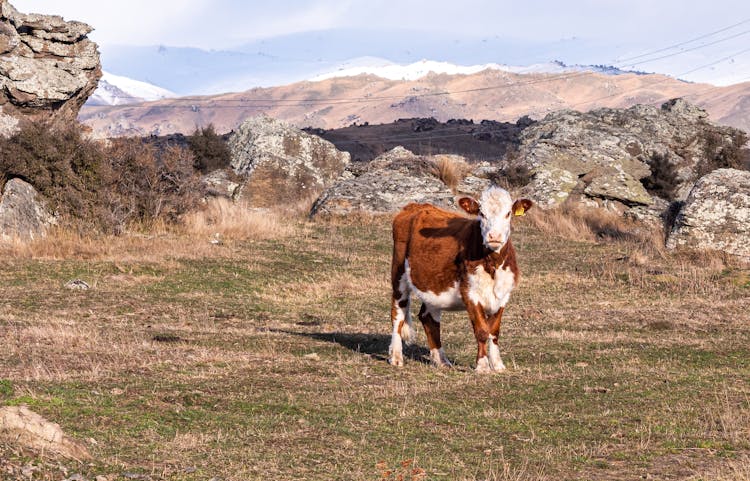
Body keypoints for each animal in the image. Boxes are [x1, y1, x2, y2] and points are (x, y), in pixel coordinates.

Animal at [388, 187, 536, 372]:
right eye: (481, 213)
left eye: (508, 213)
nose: (494, 236)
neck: (493, 265)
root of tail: (415, 206)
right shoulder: (470, 293)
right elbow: (482, 330)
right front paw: (483, 366)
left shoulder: (503, 295)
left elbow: (494, 331)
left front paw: (498, 364)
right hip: (399, 273)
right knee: (398, 313)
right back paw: (396, 357)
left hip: (433, 284)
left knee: (428, 318)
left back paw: (442, 360)